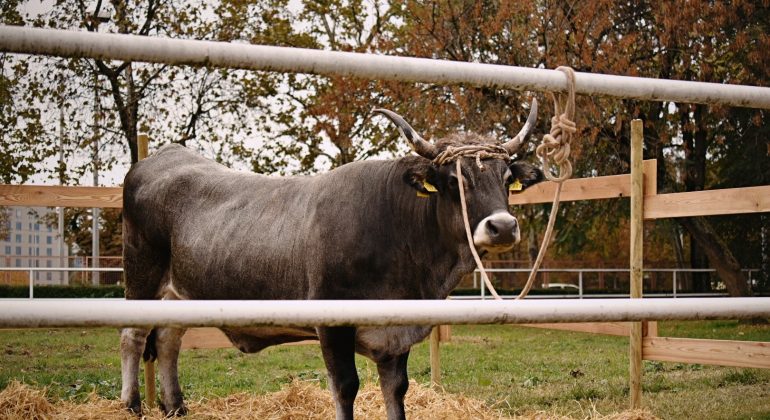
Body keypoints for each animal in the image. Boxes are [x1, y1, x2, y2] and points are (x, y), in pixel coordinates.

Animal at [118, 102, 540, 420]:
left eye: (507, 179)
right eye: (454, 181)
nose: (503, 227)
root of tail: (163, 156)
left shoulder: (396, 333)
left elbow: (396, 389)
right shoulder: (331, 322)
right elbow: (346, 387)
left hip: (181, 292)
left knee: (169, 339)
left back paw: (175, 406)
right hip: (141, 275)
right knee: (133, 336)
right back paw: (133, 405)